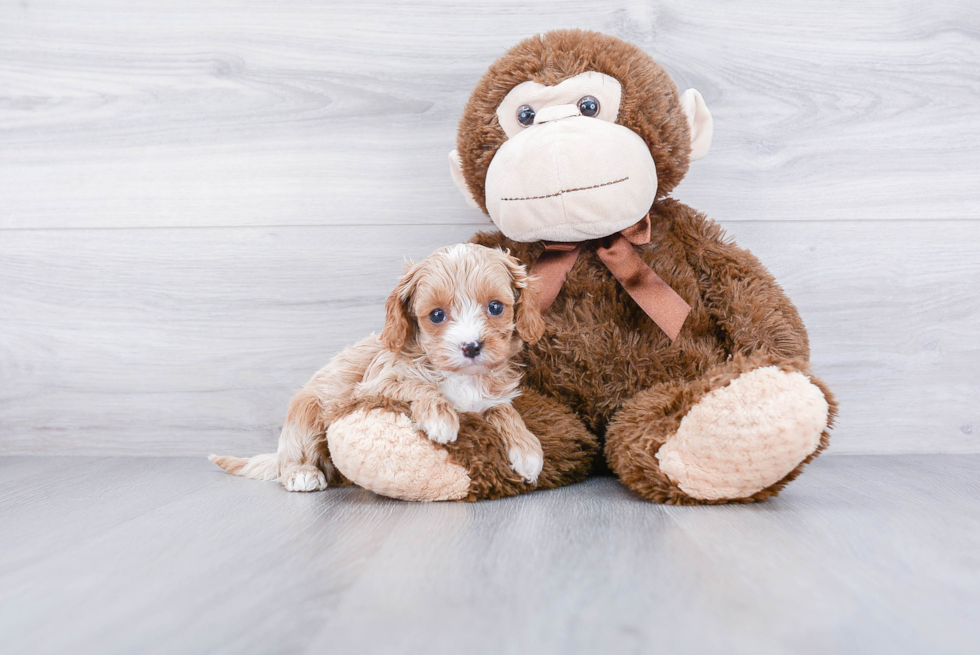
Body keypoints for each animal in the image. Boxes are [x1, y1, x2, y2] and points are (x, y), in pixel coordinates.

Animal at [212, 245, 548, 492]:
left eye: (495, 307)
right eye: (436, 315)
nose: (471, 347)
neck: (461, 378)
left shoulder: (488, 398)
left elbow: (504, 410)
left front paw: (528, 450)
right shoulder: (376, 383)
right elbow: (418, 384)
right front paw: (439, 416)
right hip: (305, 411)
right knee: (293, 457)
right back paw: (301, 474)